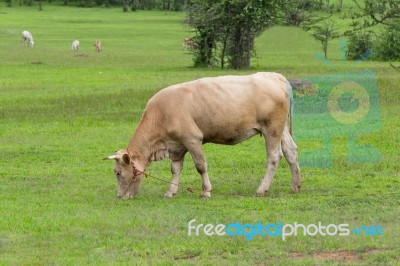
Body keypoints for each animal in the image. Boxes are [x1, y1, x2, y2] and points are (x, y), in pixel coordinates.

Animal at [104, 71, 302, 198]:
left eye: (118, 173)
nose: (120, 196)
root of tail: (276, 77)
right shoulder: (177, 145)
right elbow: (175, 169)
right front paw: (171, 191)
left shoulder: (192, 139)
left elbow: (200, 166)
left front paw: (206, 191)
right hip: (282, 129)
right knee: (291, 152)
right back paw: (296, 185)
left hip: (271, 129)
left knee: (274, 157)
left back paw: (262, 189)